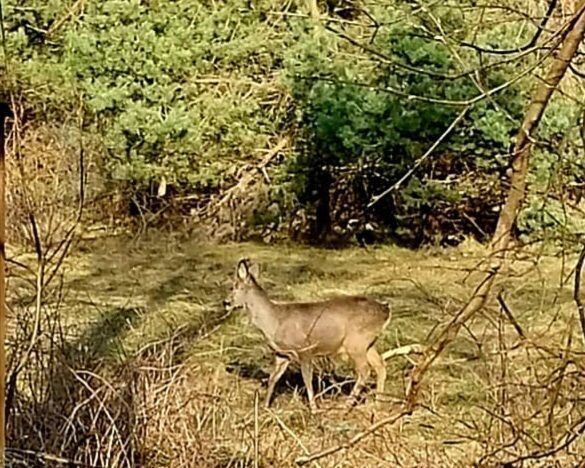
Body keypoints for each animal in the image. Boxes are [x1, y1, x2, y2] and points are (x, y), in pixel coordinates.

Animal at [225, 258, 392, 412]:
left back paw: (347, 405)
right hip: (368, 343)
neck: (275, 321)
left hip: (356, 342)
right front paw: (265, 407)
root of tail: (385, 310)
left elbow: (307, 379)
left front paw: (313, 408)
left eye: (235, 286)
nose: (225, 302)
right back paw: (377, 403)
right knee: (380, 365)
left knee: (365, 370)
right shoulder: (282, 354)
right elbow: (273, 378)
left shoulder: (304, 348)